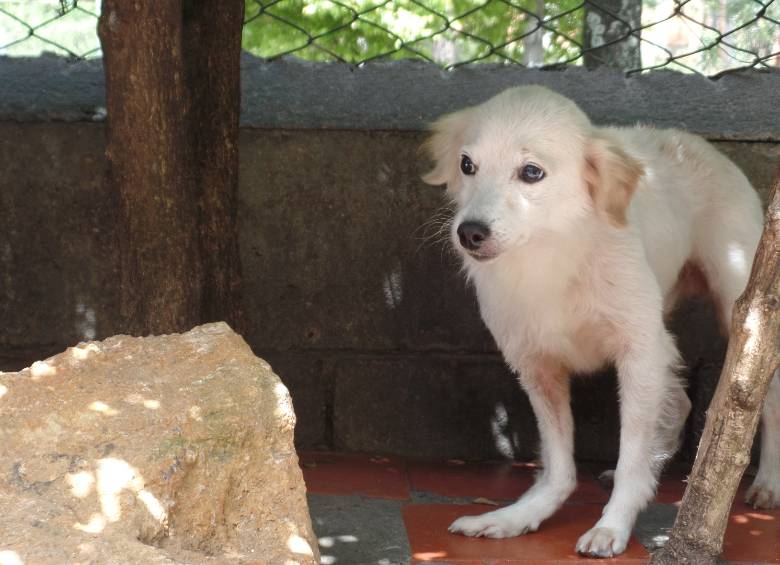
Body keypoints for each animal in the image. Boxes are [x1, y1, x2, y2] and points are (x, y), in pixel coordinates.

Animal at [424, 86, 776, 556]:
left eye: (531, 172)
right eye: (467, 165)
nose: (470, 233)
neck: (551, 254)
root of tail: (695, 142)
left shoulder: (640, 352)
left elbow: (630, 455)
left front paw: (613, 524)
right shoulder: (537, 366)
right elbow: (558, 464)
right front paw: (518, 516)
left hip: (743, 309)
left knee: (766, 399)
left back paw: (768, 481)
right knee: (680, 403)